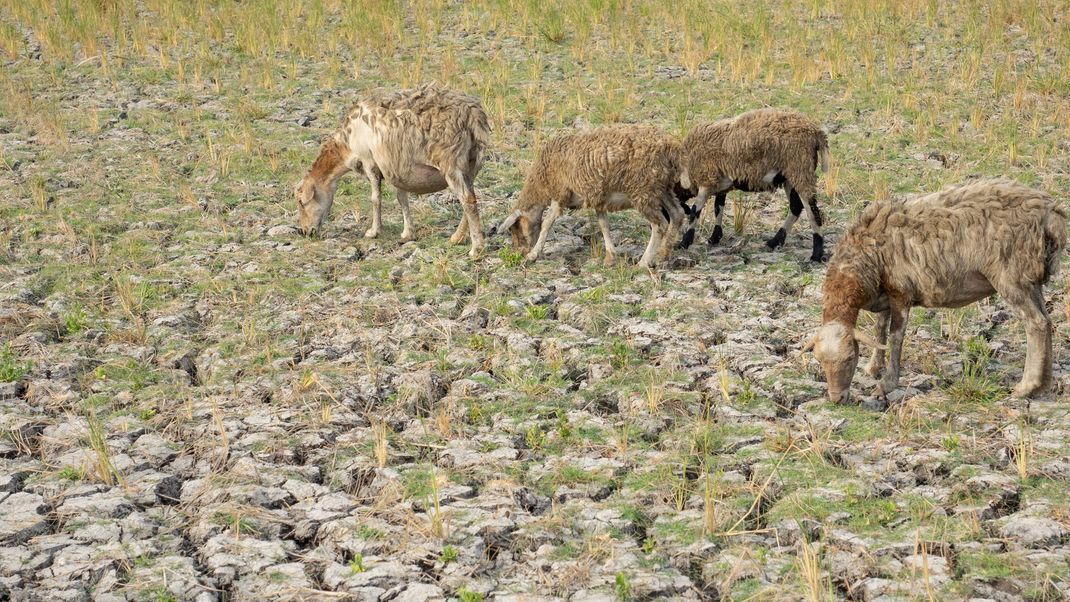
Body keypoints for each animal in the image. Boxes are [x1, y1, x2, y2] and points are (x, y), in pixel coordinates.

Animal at [295, 82, 490, 256]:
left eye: (301, 202)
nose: (305, 232)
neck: (346, 145)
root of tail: (474, 115)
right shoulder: (396, 168)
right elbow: (401, 198)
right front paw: (407, 233)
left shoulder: (369, 161)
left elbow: (375, 199)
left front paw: (373, 231)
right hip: (471, 163)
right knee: (471, 197)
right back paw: (457, 238)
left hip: (451, 162)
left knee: (467, 200)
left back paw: (476, 248)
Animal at [494, 125, 689, 268]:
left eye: (517, 230)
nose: (520, 253)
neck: (543, 179)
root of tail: (672, 147)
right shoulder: (598, 199)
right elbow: (604, 225)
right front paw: (610, 257)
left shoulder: (561, 194)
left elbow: (547, 223)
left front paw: (533, 254)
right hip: (661, 188)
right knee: (677, 214)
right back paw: (663, 254)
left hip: (643, 190)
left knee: (660, 224)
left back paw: (644, 262)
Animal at [676, 107, 826, 261]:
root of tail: (816, 132)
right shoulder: (720, 185)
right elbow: (718, 208)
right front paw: (714, 238)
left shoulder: (706, 181)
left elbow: (695, 211)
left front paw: (684, 242)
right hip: (790, 177)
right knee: (796, 207)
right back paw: (774, 242)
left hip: (800, 169)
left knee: (812, 211)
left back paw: (816, 254)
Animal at [804, 178, 1065, 404]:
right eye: (818, 360)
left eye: (851, 357)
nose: (837, 399)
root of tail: (1049, 212)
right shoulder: (885, 293)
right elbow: (879, 330)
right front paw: (874, 367)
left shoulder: (901, 292)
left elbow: (895, 337)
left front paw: (887, 384)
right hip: (1030, 279)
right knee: (1046, 321)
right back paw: (1044, 384)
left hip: (1010, 274)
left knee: (1035, 324)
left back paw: (1027, 386)